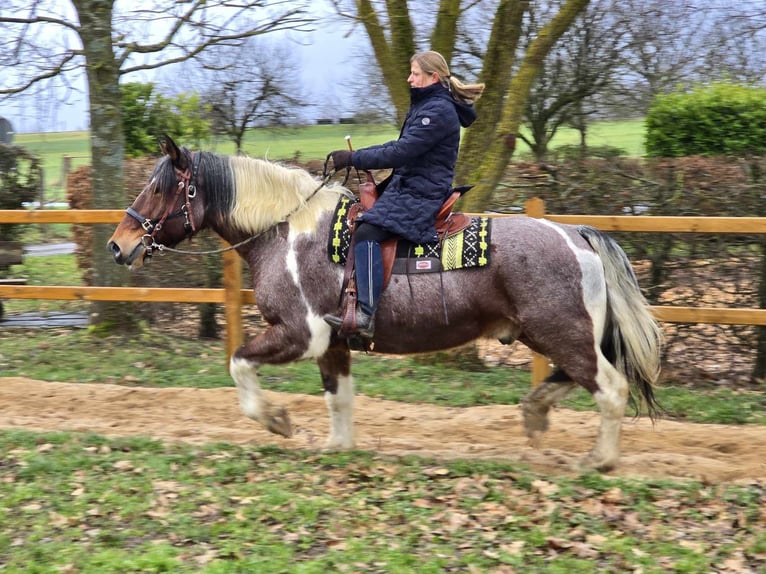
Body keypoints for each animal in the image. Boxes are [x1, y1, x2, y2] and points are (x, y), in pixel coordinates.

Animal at [105, 137, 664, 474]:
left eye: (159, 187)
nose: (118, 244)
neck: (287, 232)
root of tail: (577, 234)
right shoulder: (333, 342)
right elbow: (339, 399)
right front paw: (337, 448)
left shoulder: (301, 334)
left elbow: (239, 364)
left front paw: (278, 421)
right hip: (550, 333)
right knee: (582, 379)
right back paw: (535, 414)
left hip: (562, 333)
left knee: (611, 388)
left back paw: (599, 460)